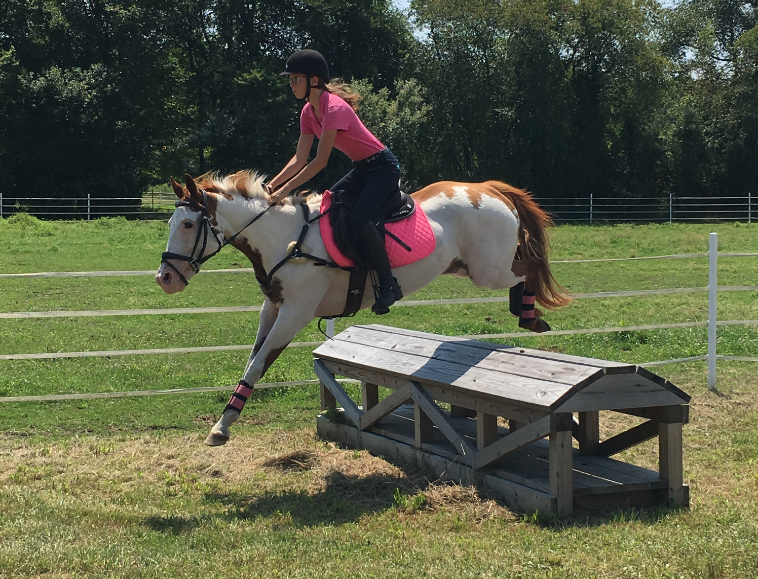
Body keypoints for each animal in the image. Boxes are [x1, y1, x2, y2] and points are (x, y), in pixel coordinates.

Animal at [156, 172, 570, 446]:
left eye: (189, 224)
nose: (165, 278)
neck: (281, 239)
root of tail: (485, 188)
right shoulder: (272, 310)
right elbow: (251, 362)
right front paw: (224, 421)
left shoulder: (295, 314)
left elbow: (259, 365)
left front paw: (222, 428)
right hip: (472, 267)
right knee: (523, 268)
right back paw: (527, 314)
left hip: (489, 270)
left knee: (528, 266)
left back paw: (531, 316)